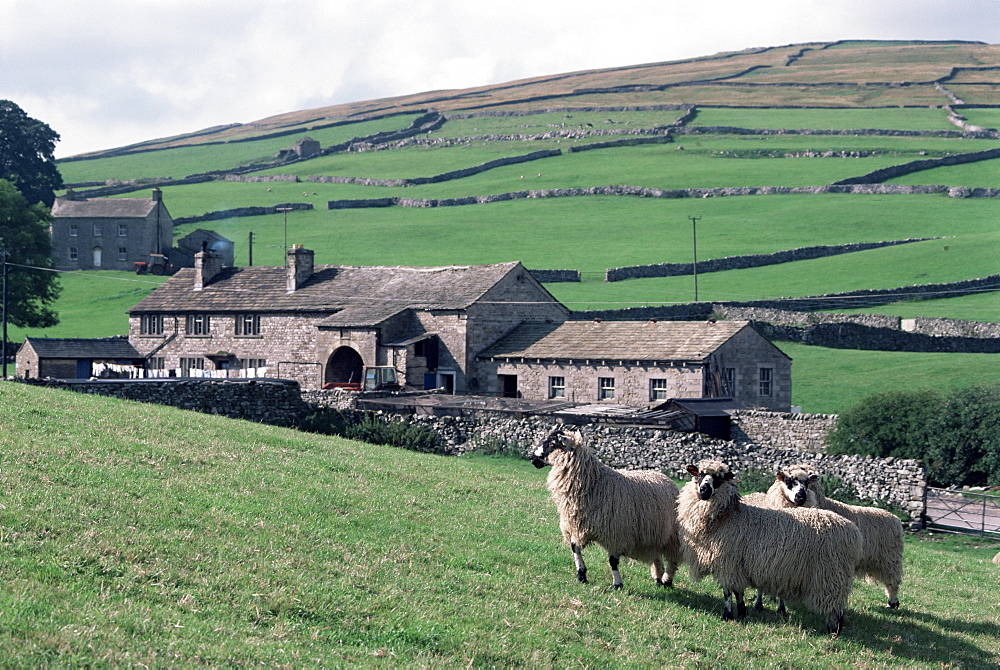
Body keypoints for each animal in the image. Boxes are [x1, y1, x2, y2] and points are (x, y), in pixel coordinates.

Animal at [528, 428, 684, 592]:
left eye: (552, 443)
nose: (532, 458)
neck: (595, 483)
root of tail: (664, 476)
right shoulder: (576, 526)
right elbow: (575, 548)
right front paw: (581, 575)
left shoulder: (615, 533)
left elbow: (613, 561)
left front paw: (617, 584)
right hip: (655, 533)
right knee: (657, 556)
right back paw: (658, 579)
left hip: (672, 535)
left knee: (673, 559)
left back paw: (667, 580)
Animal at [676, 462, 864, 636]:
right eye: (699, 474)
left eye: (719, 478)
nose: (704, 490)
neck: (726, 518)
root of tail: (853, 532)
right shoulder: (736, 565)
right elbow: (738, 592)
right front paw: (742, 611)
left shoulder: (728, 563)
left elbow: (728, 592)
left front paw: (728, 615)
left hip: (831, 574)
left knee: (836, 605)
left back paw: (834, 629)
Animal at [764, 464, 908, 612]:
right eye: (788, 480)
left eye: (807, 482)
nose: (801, 496)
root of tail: (895, 518)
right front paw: (771, 598)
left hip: (889, 559)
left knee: (893, 581)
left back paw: (892, 602)